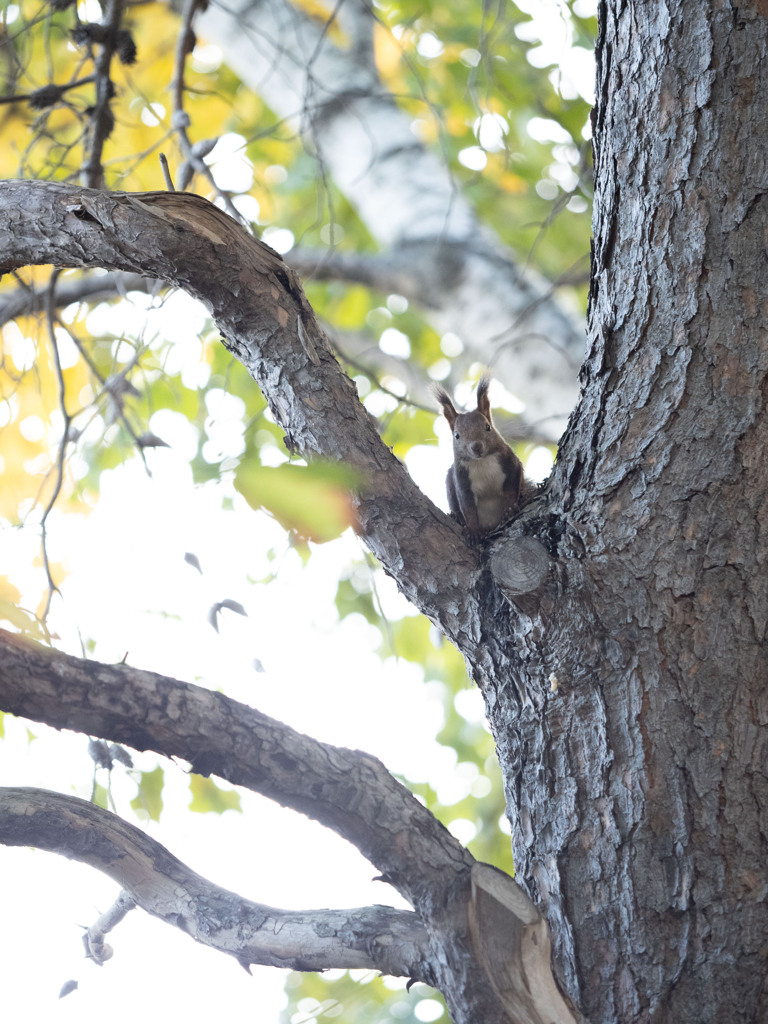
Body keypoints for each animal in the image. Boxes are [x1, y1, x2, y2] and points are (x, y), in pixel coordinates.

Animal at [434, 372, 528, 540]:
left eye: (488, 427)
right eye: (456, 435)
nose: (476, 447)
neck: (481, 462)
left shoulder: (511, 464)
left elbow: (511, 488)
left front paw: (510, 509)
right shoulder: (461, 480)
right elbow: (468, 507)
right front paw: (472, 530)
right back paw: (456, 517)